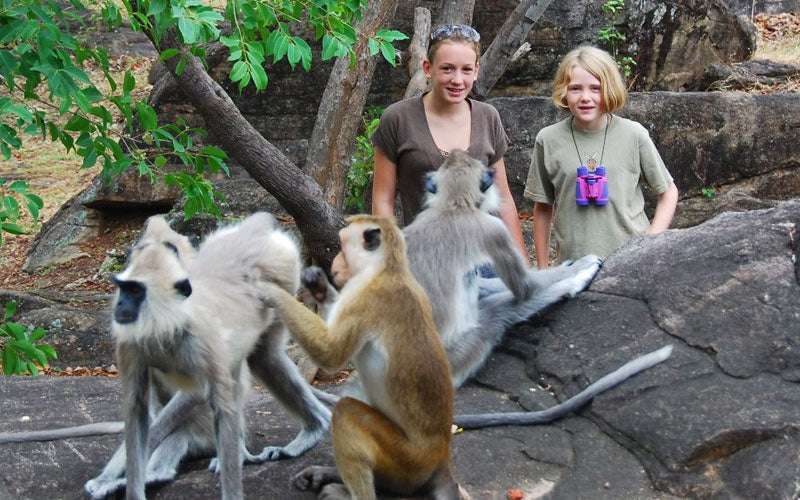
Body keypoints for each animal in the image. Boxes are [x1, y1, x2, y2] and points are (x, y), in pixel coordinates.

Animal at [79, 215, 332, 500]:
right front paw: (113, 478)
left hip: (281, 276)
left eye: (135, 291)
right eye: (123, 288)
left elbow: (199, 396)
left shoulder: (203, 343)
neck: (168, 324)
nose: (119, 304)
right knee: (261, 359)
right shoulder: (131, 342)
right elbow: (136, 410)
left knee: (260, 360)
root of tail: (253, 229)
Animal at [260, 216, 466, 500]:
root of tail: (442, 453)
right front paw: (319, 286)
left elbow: (331, 353)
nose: (333, 263)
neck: (387, 269)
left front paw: (270, 290)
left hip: (406, 460)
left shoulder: (364, 298)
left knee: (346, 411)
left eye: (342, 247)